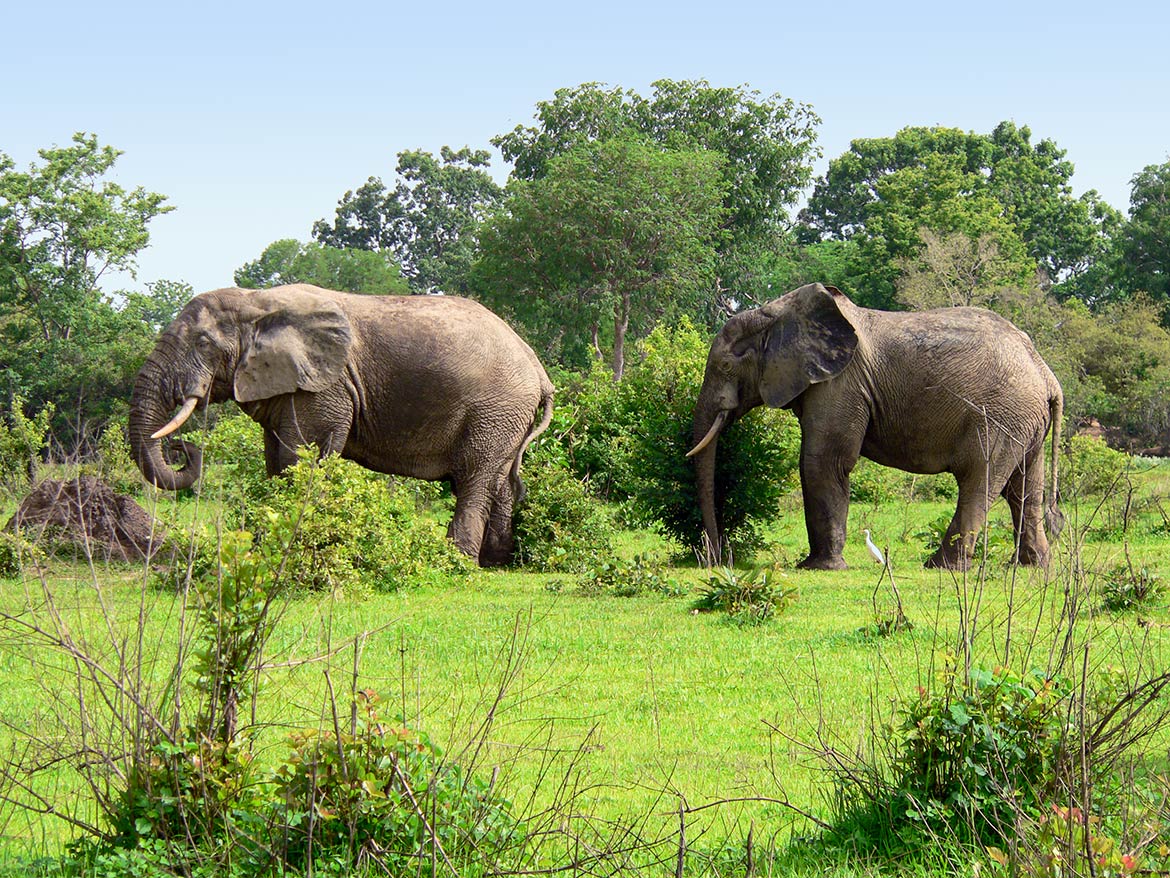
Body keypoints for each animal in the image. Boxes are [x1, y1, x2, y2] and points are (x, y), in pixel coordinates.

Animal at [125, 285, 554, 566]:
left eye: (202, 343)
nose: (182, 448)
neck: (256, 300)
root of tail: (538, 370)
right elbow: (276, 461)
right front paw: (264, 551)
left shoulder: (324, 386)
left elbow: (300, 456)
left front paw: (294, 547)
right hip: (506, 416)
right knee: (499, 481)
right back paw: (497, 561)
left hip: (495, 410)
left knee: (474, 479)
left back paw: (454, 562)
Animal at [687, 282, 1067, 571]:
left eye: (725, 365)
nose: (716, 559)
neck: (778, 312)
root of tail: (1046, 374)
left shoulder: (841, 383)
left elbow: (823, 462)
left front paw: (820, 568)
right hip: (1024, 420)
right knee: (1024, 488)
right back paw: (1032, 566)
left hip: (1000, 416)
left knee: (979, 481)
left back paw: (941, 567)